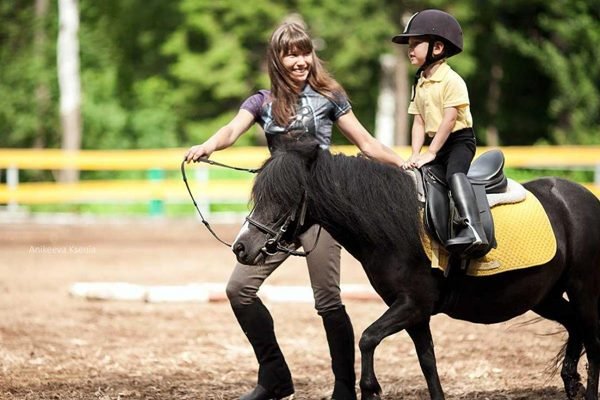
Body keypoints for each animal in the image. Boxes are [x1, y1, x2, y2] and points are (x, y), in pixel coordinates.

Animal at [232, 141, 600, 400]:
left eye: (284, 197)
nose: (241, 247)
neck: (394, 225)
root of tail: (583, 198)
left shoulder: (413, 305)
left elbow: (367, 338)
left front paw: (370, 389)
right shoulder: (415, 313)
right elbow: (427, 362)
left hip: (584, 289)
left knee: (593, 343)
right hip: (546, 296)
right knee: (575, 327)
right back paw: (571, 382)